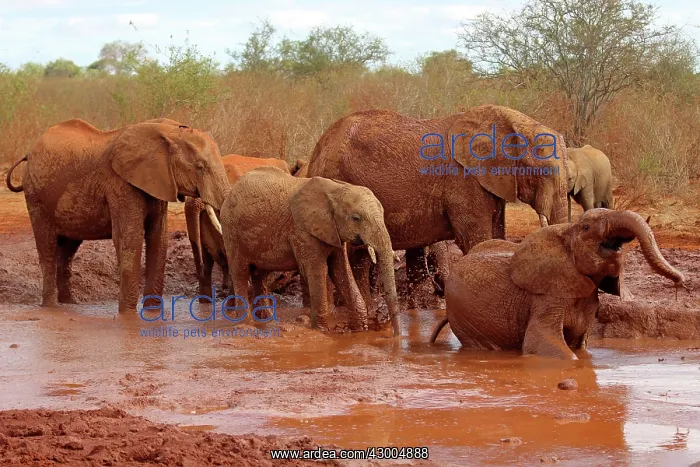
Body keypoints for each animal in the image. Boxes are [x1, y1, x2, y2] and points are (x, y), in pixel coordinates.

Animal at [4, 118, 230, 313]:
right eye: (200, 167)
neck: (168, 130)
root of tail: (28, 153)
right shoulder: (120, 185)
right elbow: (130, 238)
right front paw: (128, 317)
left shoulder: (157, 183)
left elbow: (158, 240)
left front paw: (152, 315)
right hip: (36, 196)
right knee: (47, 247)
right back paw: (51, 308)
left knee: (67, 249)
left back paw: (70, 304)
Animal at [219, 166, 400, 335]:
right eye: (356, 218)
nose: (396, 335)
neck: (336, 189)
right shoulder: (302, 232)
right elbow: (318, 270)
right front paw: (322, 331)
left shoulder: (333, 232)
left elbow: (340, 271)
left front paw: (359, 330)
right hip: (231, 232)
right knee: (240, 273)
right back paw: (245, 324)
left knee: (260, 275)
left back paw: (266, 322)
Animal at [305, 104, 570, 312]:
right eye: (542, 171)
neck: (507, 120)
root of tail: (317, 150)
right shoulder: (463, 182)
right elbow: (476, 240)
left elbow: (496, 236)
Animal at [429, 208, 686, 359]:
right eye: (586, 227)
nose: (680, 282)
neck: (565, 233)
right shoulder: (547, 296)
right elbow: (542, 342)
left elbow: (580, 345)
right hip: (465, 319)